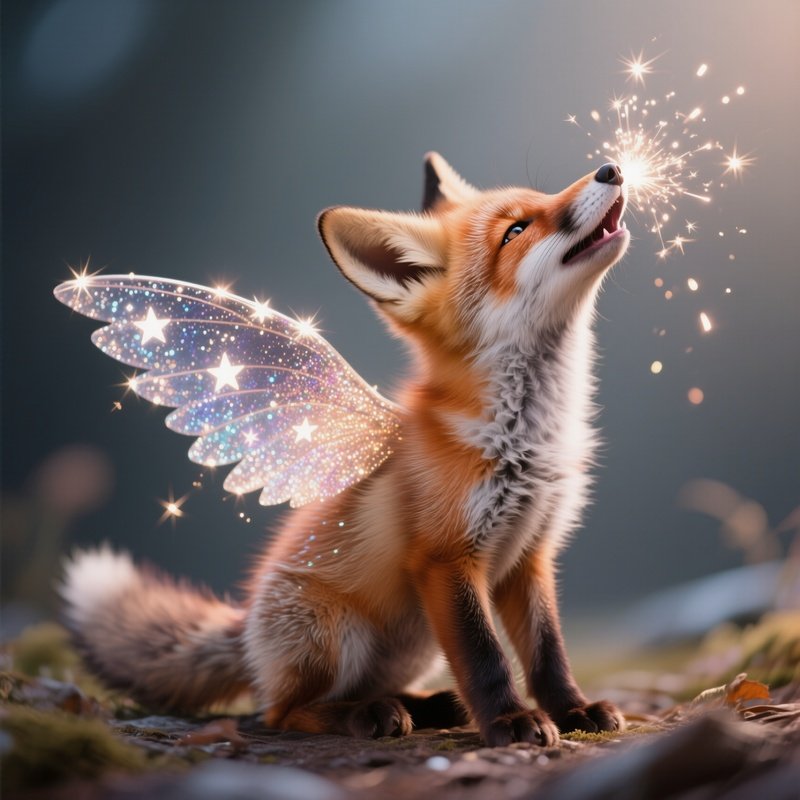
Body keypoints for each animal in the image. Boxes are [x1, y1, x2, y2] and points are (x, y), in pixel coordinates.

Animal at [61, 153, 630, 746]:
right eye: (515, 231)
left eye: (539, 201)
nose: (612, 169)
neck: (527, 439)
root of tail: (249, 634)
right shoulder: (445, 558)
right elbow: (484, 657)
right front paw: (508, 722)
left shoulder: (530, 556)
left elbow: (548, 653)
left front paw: (574, 710)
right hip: (336, 636)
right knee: (285, 711)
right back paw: (369, 715)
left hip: (414, 645)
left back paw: (427, 706)